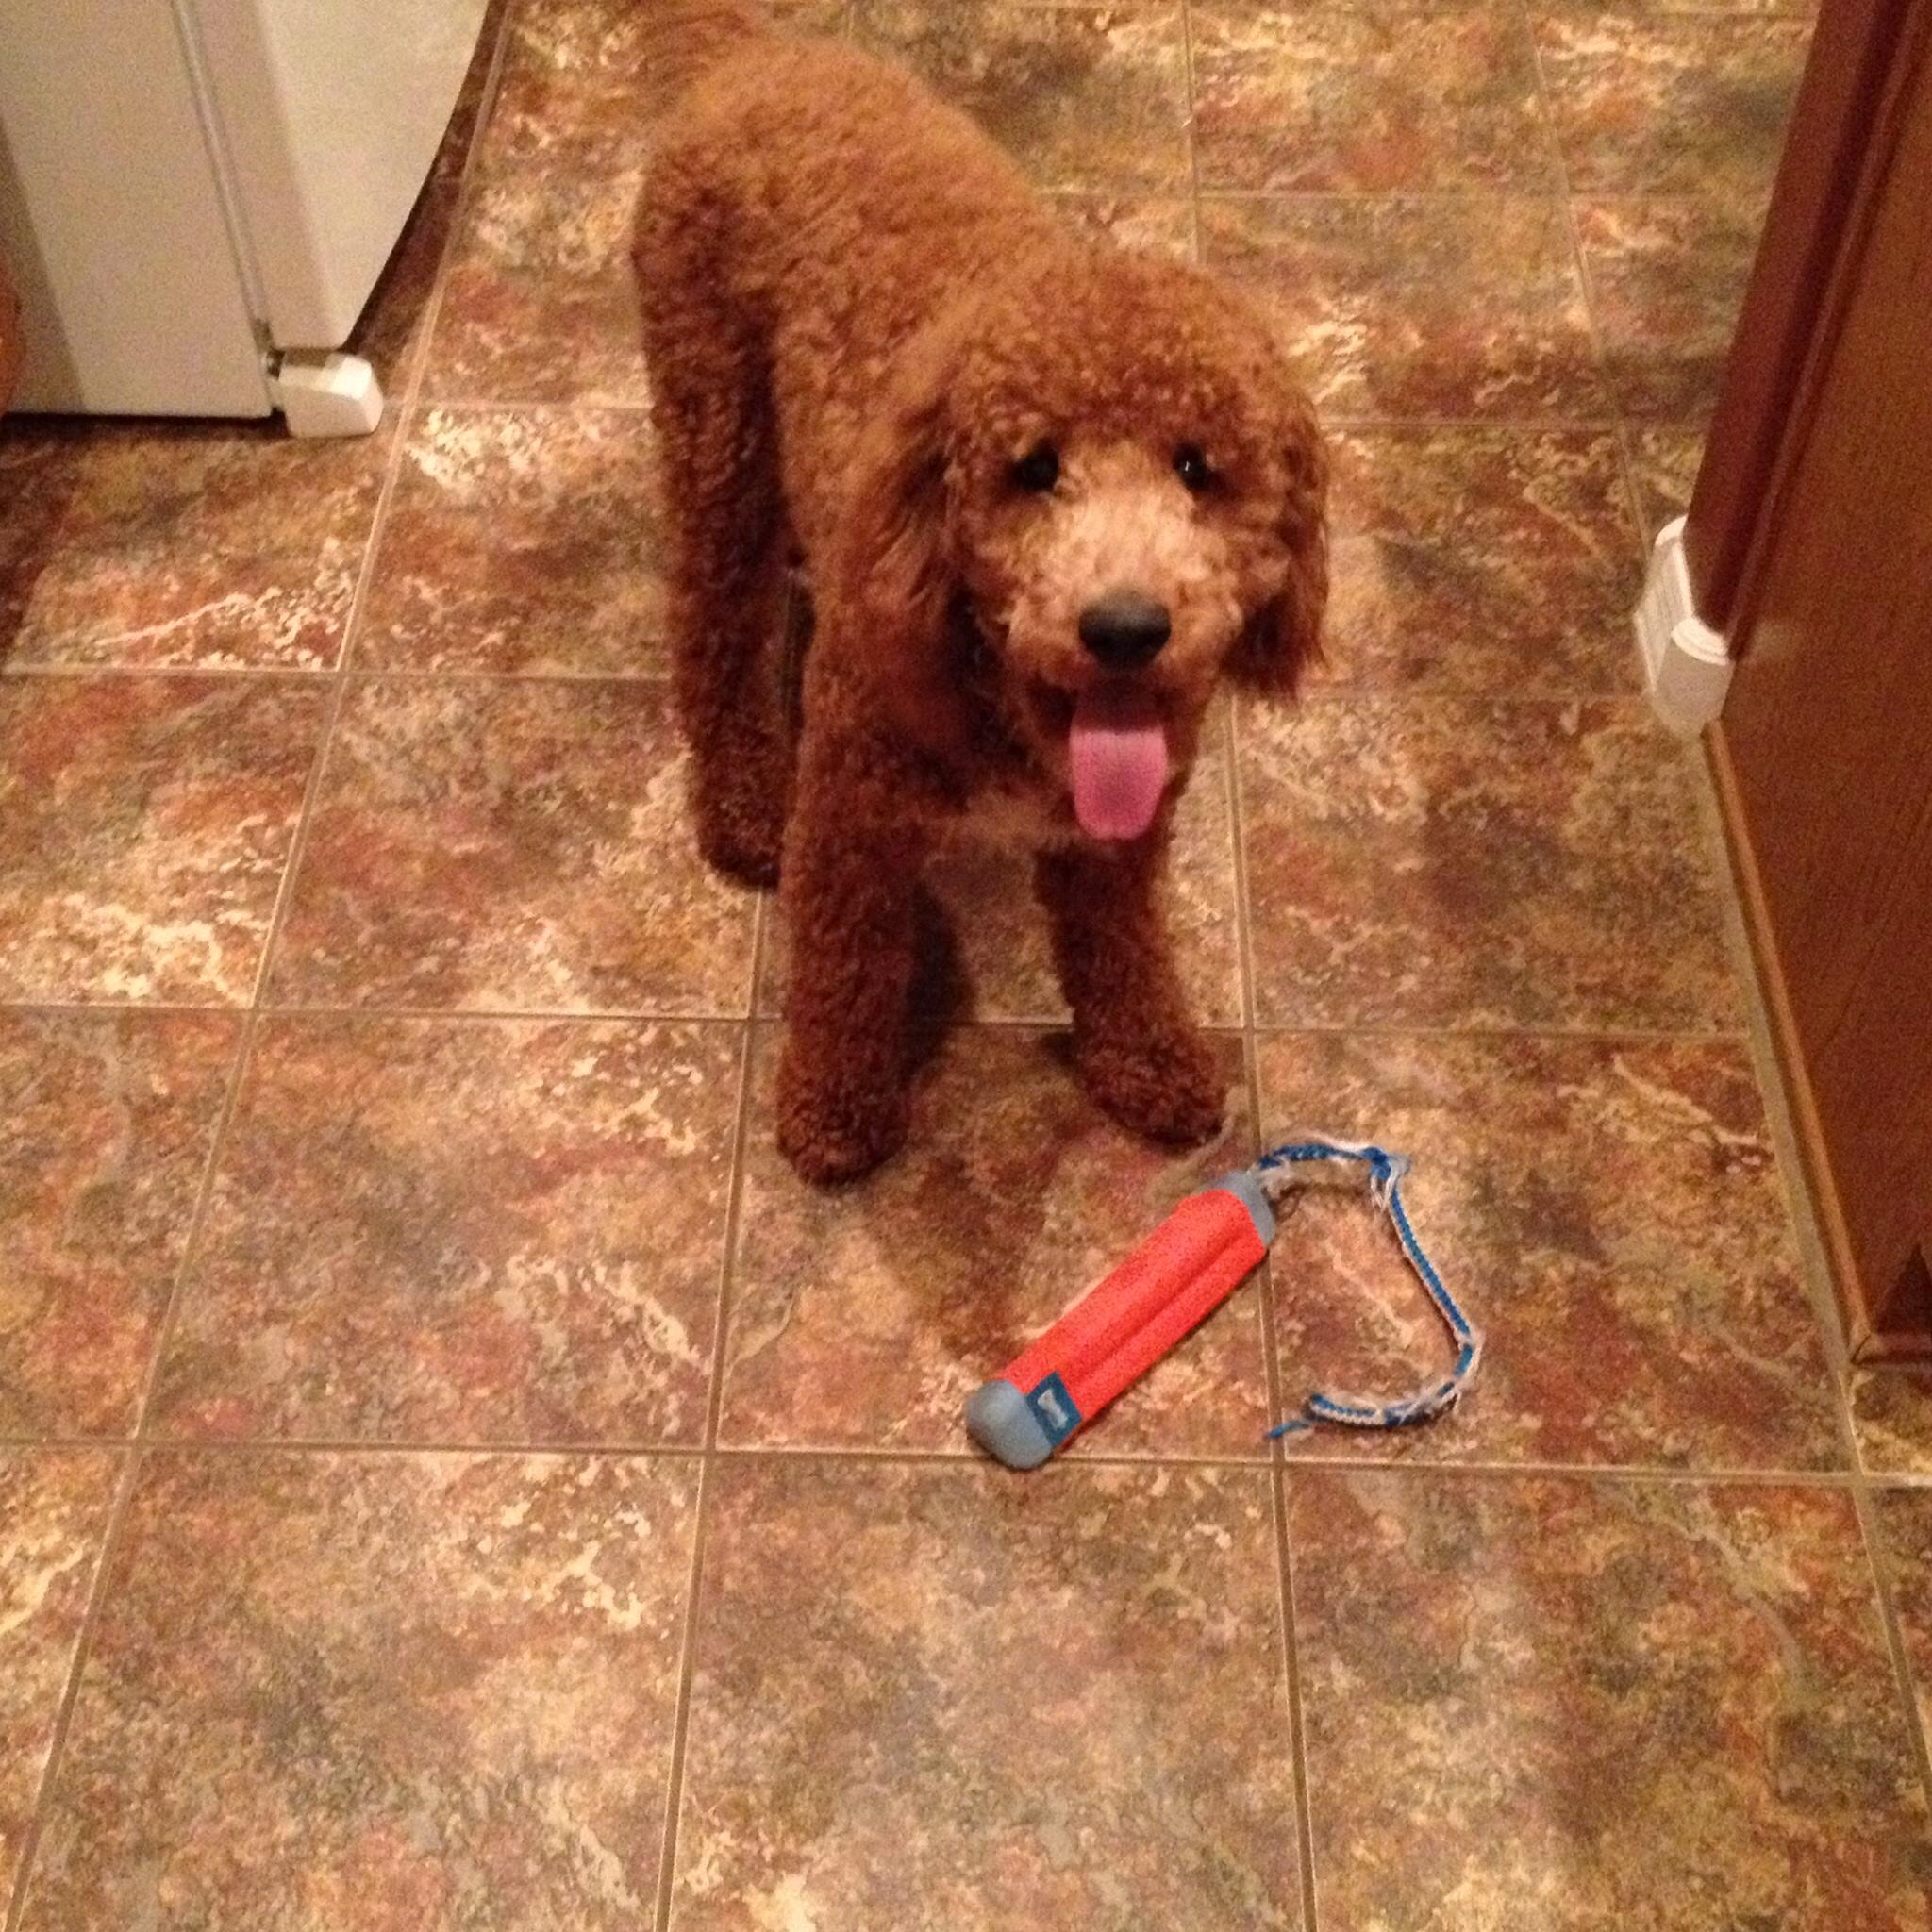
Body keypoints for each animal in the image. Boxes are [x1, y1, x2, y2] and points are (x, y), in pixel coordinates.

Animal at [633, 0, 1329, 1182]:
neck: (1007, 690)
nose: (1124, 627)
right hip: (713, 427)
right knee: (711, 624)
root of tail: (758, 51)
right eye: (1033, 468)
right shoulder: (850, 816)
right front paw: (832, 1107)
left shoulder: (1119, 839)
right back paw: (739, 805)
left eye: (1197, 467)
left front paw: (1150, 1060)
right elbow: (845, 969)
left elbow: (1121, 946)